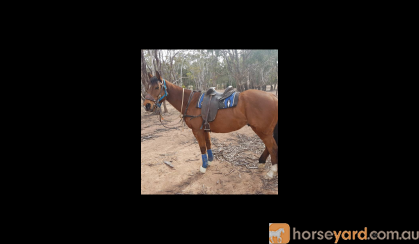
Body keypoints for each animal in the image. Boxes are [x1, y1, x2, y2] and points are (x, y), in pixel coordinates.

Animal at [144, 71, 278, 178]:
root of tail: (273, 96)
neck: (190, 101)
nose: (147, 105)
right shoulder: (205, 129)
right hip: (265, 130)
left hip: (262, 130)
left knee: (272, 147)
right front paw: (209, 161)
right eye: (146, 87)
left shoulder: (197, 131)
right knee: (269, 147)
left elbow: (202, 147)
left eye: (157, 87)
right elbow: (208, 144)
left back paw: (271, 172)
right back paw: (261, 162)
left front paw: (203, 166)